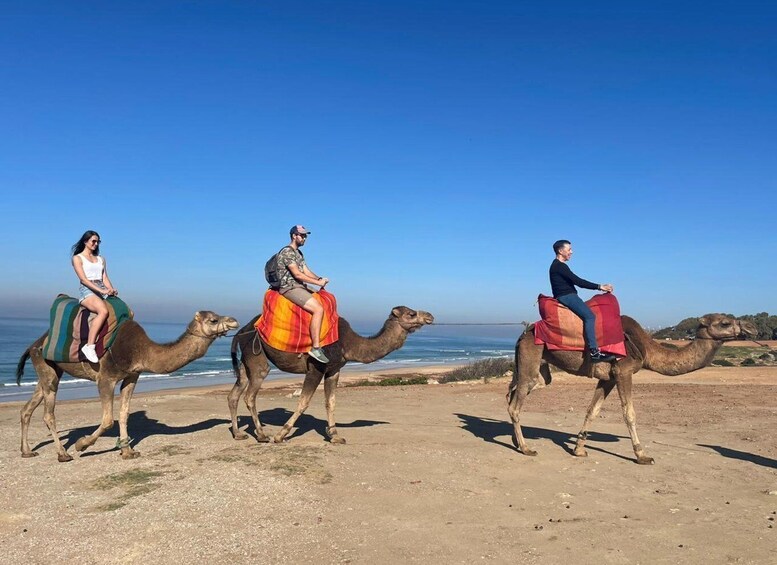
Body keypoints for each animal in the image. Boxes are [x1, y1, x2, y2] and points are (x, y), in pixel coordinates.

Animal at [17, 310, 236, 460]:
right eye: (213, 319)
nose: (233, 320)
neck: (142, 351)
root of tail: (34, 344)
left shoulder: (132, 376)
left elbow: (123, 414)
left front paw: (127, 451)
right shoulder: (105, 378)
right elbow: (108, 420)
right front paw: (81, 445)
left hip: (50, 370)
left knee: (28, 407)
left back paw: (27, 451)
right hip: (44, 364)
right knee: (48, 413)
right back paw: (63, 453)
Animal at [227, 306, 434, 442]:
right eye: (411, 313)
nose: (430, 316)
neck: (348, 343)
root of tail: (241, 330)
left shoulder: (334, 370)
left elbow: (331, 402)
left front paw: (335, 436)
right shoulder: (316, 367)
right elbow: (303, 402)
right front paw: (280, 435)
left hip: (246, 361)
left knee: (235, 393)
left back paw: (238, 434)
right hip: (256, 354)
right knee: (250, 394)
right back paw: (262, 435)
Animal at [506, 312, 756, 462]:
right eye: (724, 323)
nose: (750, 327)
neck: (647, 349)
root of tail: (522, 335)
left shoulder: (608, 378)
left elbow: (592, 411)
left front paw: (579, 449)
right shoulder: (623, 371)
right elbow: (629, 413)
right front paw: (642, 455)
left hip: (538, 368)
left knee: (515, 392)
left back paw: (517, 442)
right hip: (531, 356)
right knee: (516, 404)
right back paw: (526, 448)